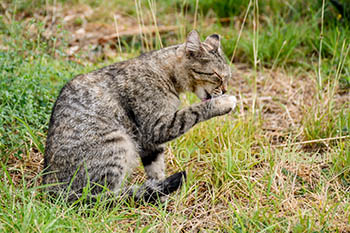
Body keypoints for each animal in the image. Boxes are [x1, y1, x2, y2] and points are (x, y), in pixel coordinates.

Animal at [42, 30, 237, 203]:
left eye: (228, 77)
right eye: (217, 76)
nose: (225, 89)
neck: (165, 73)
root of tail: (50, 189)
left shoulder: (149, 142)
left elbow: (156, 169)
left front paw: (160, 196)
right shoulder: (156, 126)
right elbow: (194, 110)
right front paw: (224, 103)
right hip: (118, 142)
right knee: (101, 198)